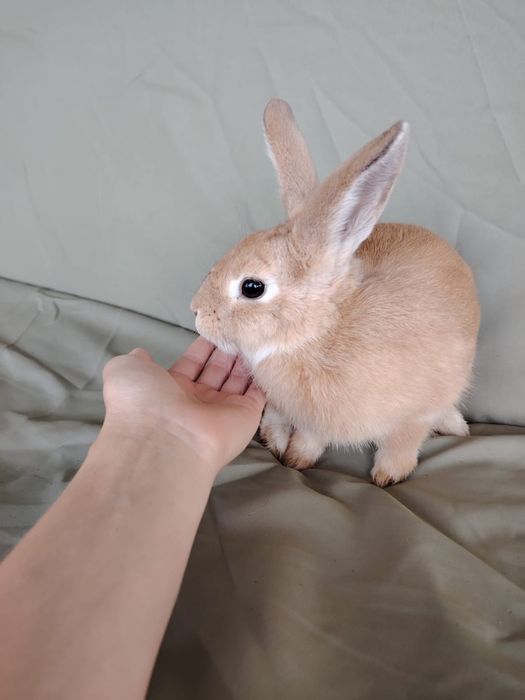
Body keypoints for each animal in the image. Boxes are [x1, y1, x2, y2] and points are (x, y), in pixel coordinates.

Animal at [191, 98, 480, 486]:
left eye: (252, 287)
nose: (196, 312)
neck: (318, 334)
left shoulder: (414, 416)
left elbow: (403, 442)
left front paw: (388, 476)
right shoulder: (312, 422)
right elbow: (309, 438)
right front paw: (297, 459)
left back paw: (456, 427)